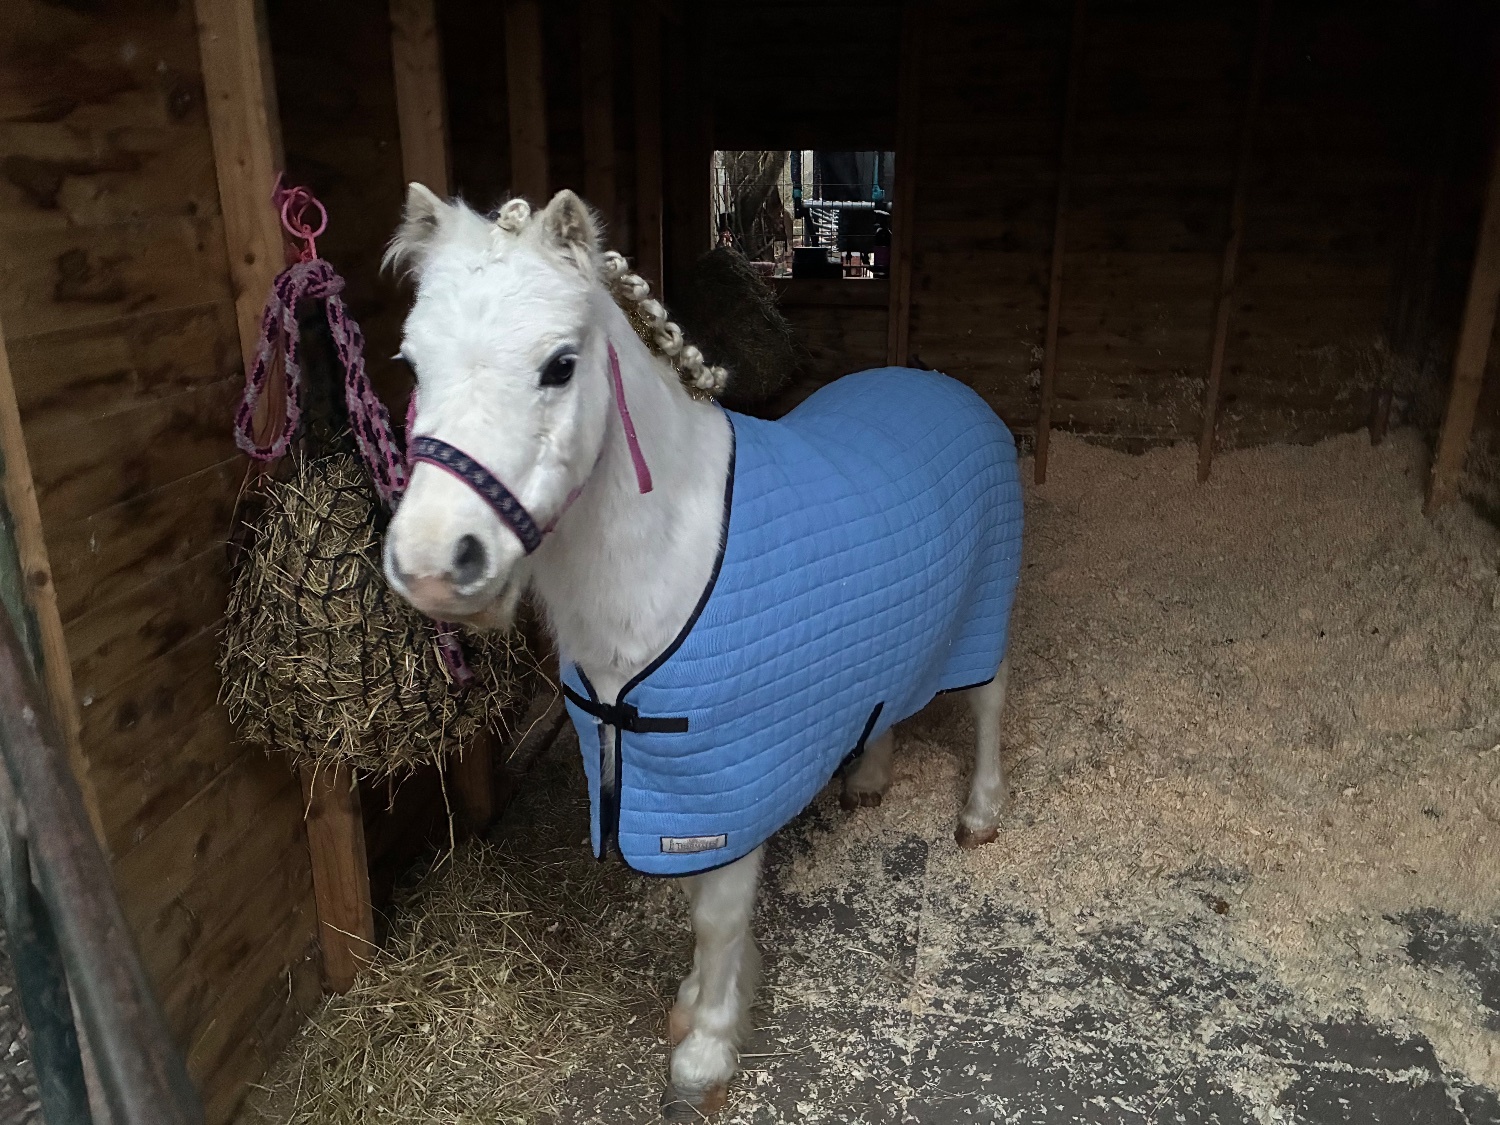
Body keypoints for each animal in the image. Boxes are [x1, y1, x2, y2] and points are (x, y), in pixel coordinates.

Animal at [382, 186, 1024, 1117]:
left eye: (560, 365)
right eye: (411, 361)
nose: (435, 562)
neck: (671, 555)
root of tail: (943, 386)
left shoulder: (723, 779)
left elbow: (717, 913)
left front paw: (707, 1048)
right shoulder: (666, 779)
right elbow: (691, 899)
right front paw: (693, 1003)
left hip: (984, 617)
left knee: (986, 705)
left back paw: (978, 814)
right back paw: (868, 780)